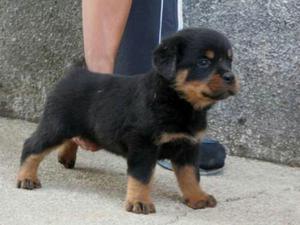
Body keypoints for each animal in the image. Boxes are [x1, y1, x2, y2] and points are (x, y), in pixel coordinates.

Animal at [17, 28, 240, 214]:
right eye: (204, 62)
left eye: (229, 61)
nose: (230, 76)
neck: (179, 102)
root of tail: (74, 73)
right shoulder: (143, 144)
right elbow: (141, 175)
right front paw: (139, 202)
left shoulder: (188, 145)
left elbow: (190, 175)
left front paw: (197, 197)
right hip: (57, 124)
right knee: (32, 146)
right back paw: (26, 177)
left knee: (71, 139)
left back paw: (66, 157)